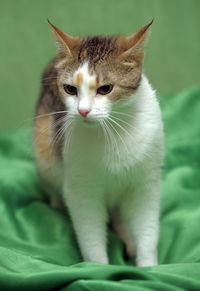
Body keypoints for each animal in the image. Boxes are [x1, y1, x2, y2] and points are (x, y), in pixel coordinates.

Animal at [32, 19, 163, 268]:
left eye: (105, 88)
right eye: (70, 89)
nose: (83, 110)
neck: (114, 133)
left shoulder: (145, 184)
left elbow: (147, 232)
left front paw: (149, 267)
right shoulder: (82, 190)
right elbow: (91, 238)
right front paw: (98, 270)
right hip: (45, 154)